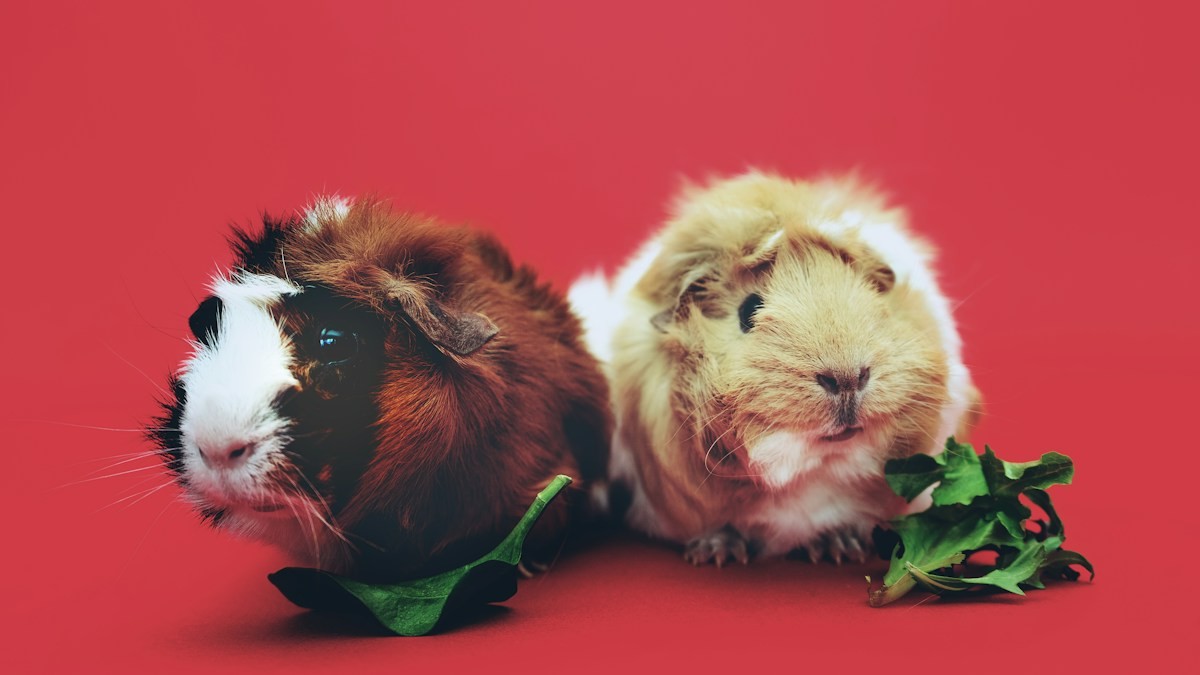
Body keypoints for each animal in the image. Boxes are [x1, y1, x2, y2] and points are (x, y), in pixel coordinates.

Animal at [570, 172, 980, 566]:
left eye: (874, 297)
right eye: (748, 311)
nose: (848, 377)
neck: (810, 469)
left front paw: (840, 548)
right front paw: (717, 555)